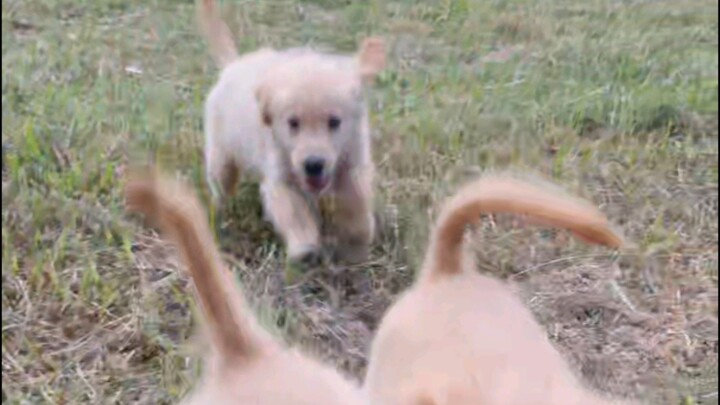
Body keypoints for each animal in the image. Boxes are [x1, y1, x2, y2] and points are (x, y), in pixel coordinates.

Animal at [197, 0, 386, 264]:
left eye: (334, 122)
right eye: (293, 123)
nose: (313, 164)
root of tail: (233, 65)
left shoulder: (352, 165)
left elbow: (356, 205)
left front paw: (357, 240)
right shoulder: (280, 179)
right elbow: (295, 215)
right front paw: (304, 248)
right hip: (221, 157)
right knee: (221, 185)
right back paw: (219, 214)